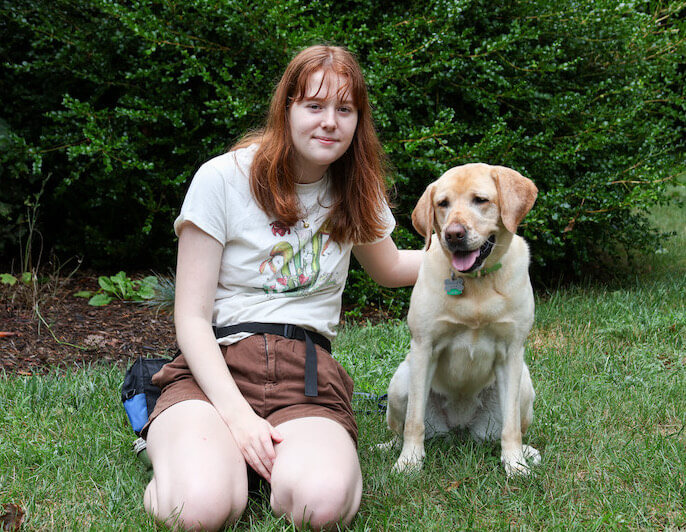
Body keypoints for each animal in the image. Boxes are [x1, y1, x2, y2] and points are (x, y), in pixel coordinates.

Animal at [388, 163, 544, 478]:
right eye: (442, 204)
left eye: (480, 200)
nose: (453, 234)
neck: (476, 284)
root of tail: (459, 426)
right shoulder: (424, 347)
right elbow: (413, 422)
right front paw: (409, 462)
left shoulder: (512, 352)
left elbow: (511, 427)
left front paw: (514, 464)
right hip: (399, 383)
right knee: (403, 427)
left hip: (525, 385)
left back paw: (526, 452)